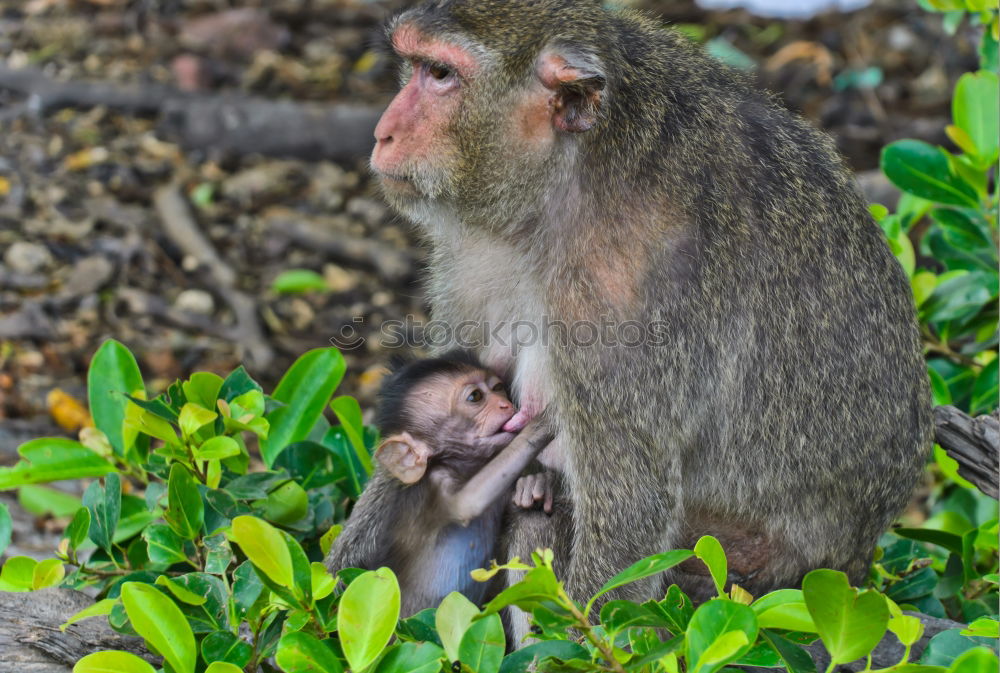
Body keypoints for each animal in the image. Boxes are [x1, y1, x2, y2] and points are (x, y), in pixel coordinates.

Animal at [326, 352, 568, 616]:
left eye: (497, 388)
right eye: (475, 397)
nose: (506, 405)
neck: (460, 466)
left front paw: (536, 485)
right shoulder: (437, 484)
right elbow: (468, 503)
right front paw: (541, 425)